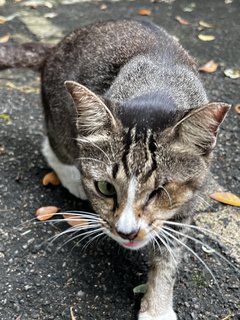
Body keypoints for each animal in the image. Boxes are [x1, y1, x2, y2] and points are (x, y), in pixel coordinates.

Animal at [0, 18, 231, 318]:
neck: (159, 88)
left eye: (160, 192)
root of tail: (56, 47)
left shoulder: (186, 206)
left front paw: (157, 307)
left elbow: (168, 258)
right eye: (105, 188)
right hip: (62, 121)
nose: (126, 232)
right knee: (54, 145)